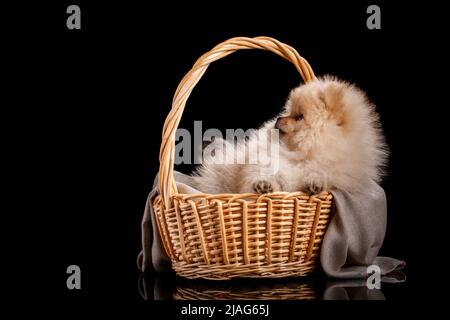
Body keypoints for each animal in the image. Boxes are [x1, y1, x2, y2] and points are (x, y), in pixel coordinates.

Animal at [190, 76, 386, 194]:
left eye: (299, 117)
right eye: (288, 111)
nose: (278, 119)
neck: (300, 153)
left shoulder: (338, 173)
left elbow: (322, 176)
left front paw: (315, 183)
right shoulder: (264, 164)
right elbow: (269, 178)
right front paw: (265, 185)